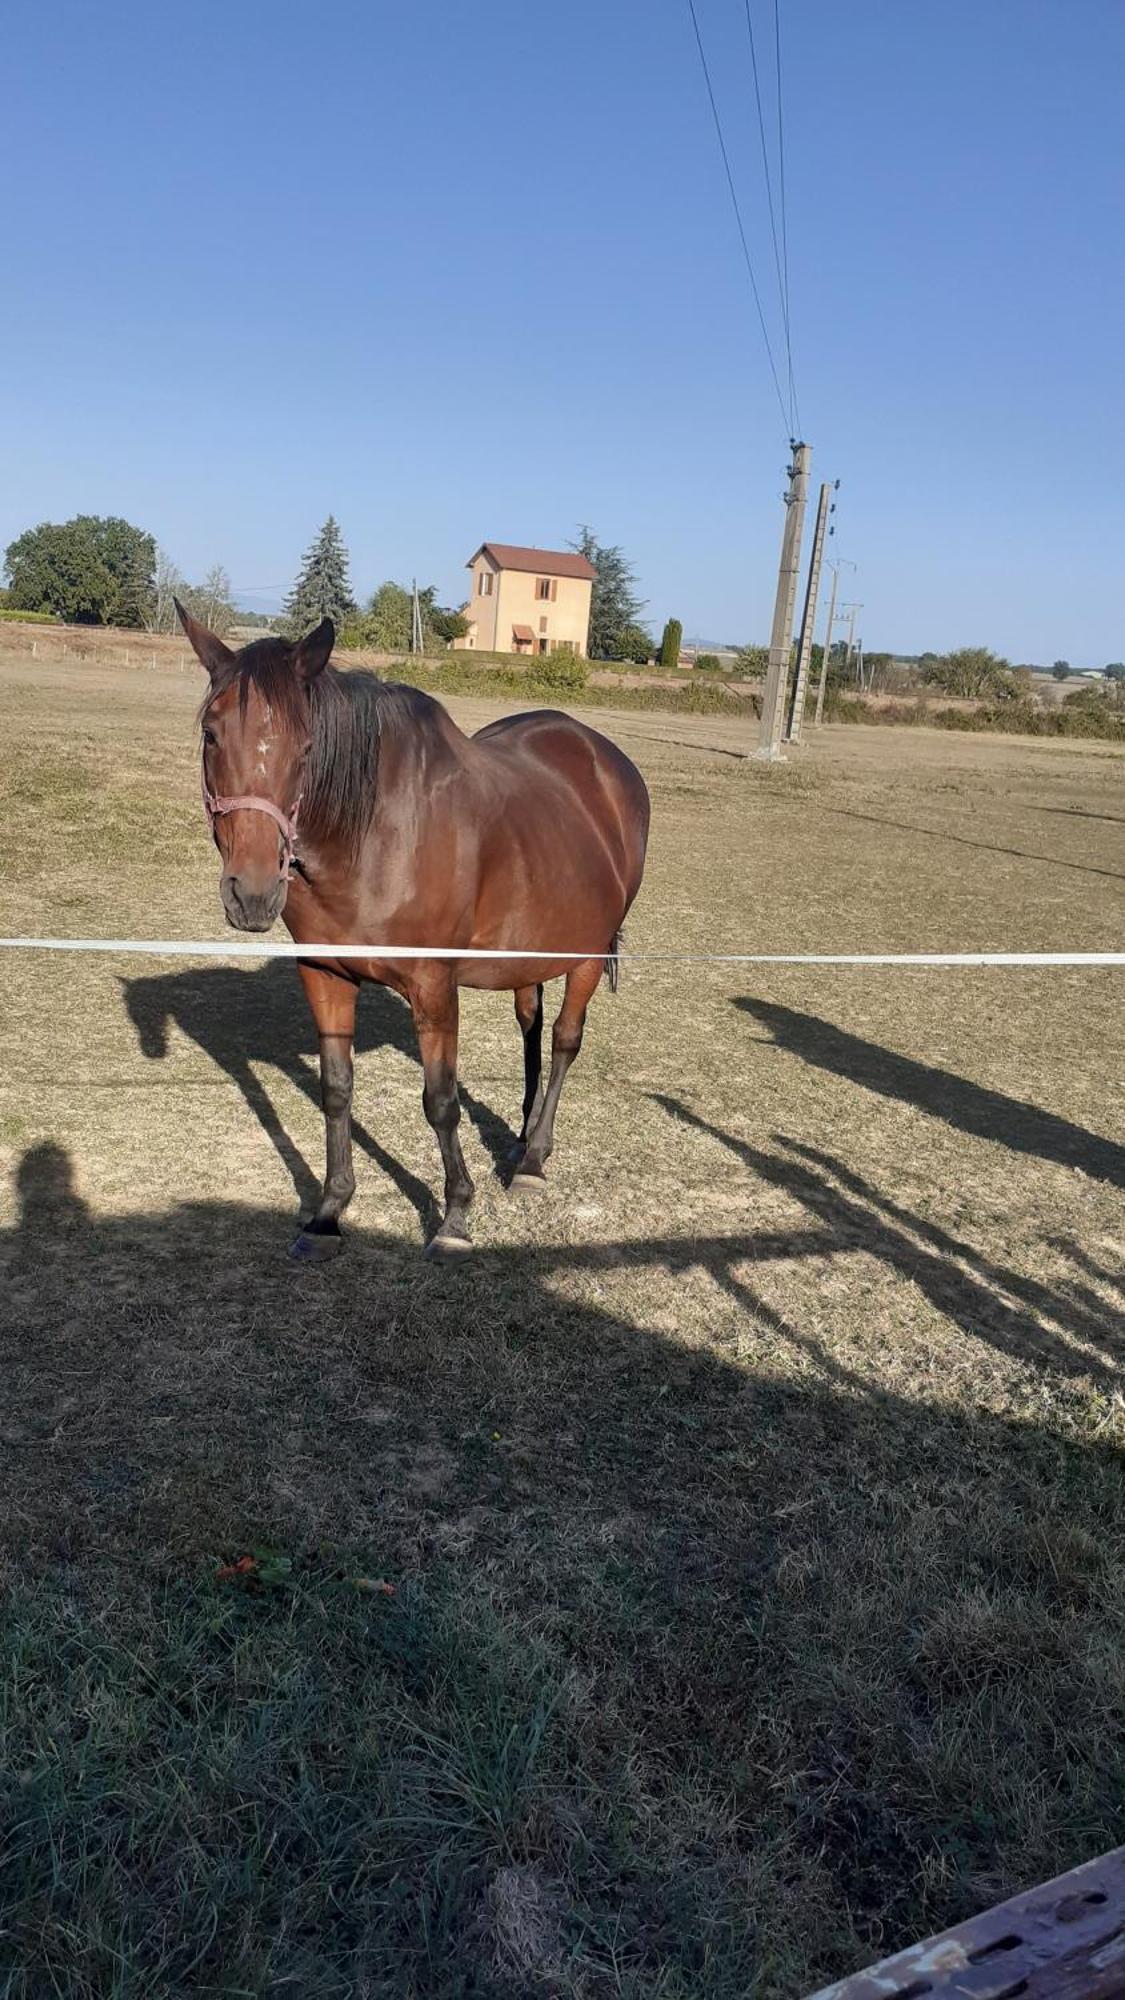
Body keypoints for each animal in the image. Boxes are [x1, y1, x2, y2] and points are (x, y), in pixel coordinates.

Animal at [174, 600, 648, 1256]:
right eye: (211, 734)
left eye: (307, 745)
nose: (252, 893)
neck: (372, 840)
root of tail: (609, 763)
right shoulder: (324, 976)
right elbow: (336, 1091)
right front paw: (329, 1212)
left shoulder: (433, 987)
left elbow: (440, 1101)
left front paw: (455, 1216)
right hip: (529, 954)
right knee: (530, 1028)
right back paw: (520, 1139)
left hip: (585, 956)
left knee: (562, 1041)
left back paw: (534, 1158)